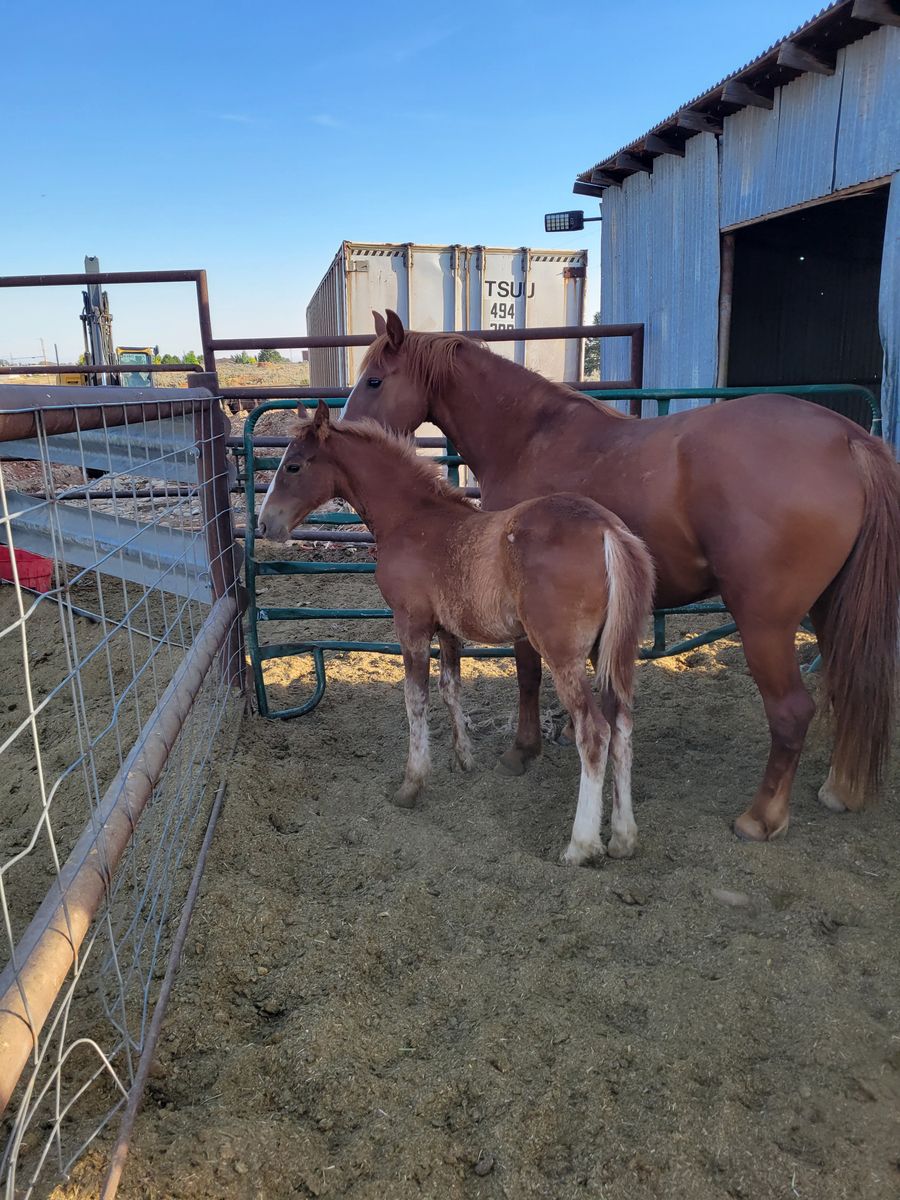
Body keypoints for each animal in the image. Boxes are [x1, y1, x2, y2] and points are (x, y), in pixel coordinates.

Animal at [257, 401, 655, 867]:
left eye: (293, 465)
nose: (264, 525)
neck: (412, 518)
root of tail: (608, 530)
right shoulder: (448, 629)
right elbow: (451, 688)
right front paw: (463, 759)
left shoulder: (410, 622)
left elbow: (416, 699)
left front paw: (411, 785)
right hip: (606, 652)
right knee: (622, 726)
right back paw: (623, 838)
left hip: (564, 655)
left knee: (594, 733)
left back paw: (581, 845)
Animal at [341, 309, 900, 844]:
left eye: (374, 380)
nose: (346, 432)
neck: (529, 437)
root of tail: (850, 439)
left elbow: (528, 675)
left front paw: (523, 750)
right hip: (828, 609)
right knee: (845, 687)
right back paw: (839, 789)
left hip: (765, 622)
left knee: (792, 712)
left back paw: (760, 818)